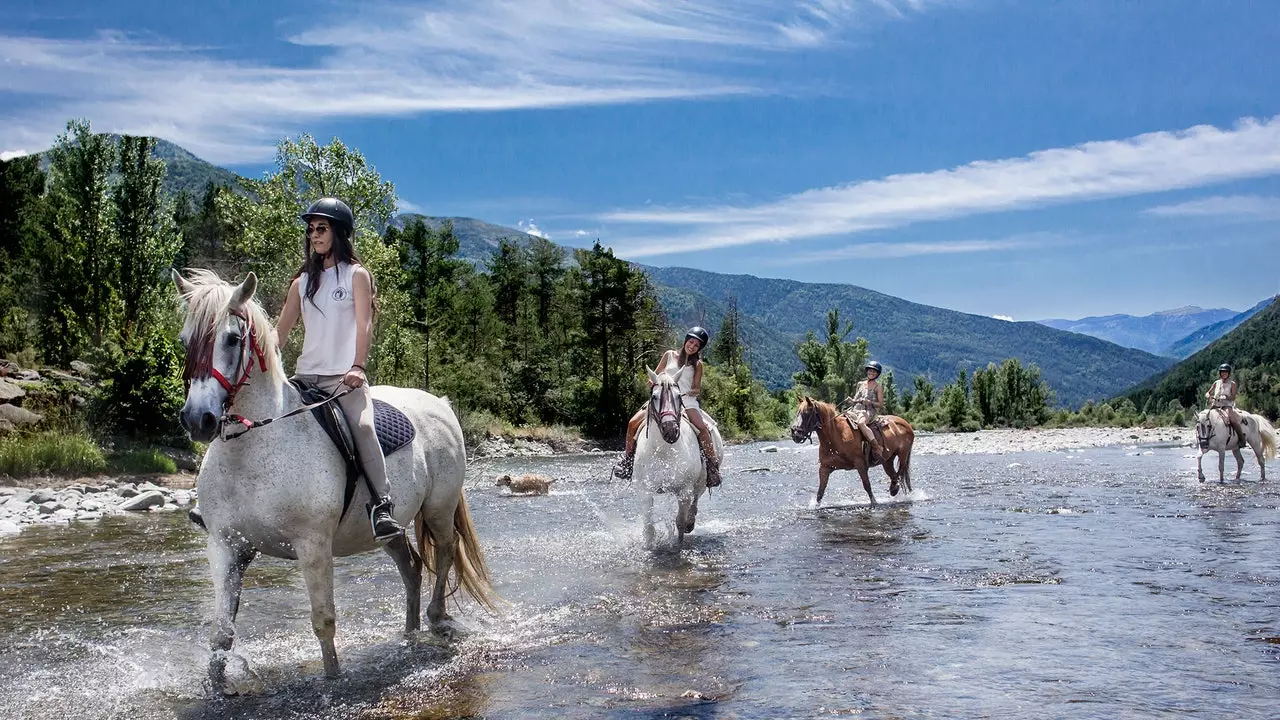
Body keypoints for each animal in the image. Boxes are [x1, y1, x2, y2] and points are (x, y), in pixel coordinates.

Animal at [177, 267, 496, 691]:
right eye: (185, 340)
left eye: (231, 338)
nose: (199, 419)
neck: (252, 449)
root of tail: (439, 403)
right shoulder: (226, 547)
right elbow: (222, 632)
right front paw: (215, 689)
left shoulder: (313, 545)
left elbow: (323, 621)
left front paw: (333, 681)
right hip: (388, 529)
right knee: (411, 567)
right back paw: (408, 635)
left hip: (439, 507)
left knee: (444, 550)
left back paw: (436, 618)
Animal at [634, 363, 727, 543]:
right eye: (654, 396)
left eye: (679, 397)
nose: (670, 429)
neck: (663, 451)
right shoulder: (645, 491)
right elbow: (649, 528)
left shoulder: (684, 491)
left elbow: (680, 523)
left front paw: (679, 543)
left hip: (701, 481)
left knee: (696, 499)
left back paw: (692, 521)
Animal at [783, 397, 916, 504]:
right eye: (797, 412)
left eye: (806, 413)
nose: (795, 433)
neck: (836, 435)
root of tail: (906, 424)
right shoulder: (825, 468)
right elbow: (820, 492)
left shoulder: (860, 464)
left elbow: (867, 485)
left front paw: (874, 502)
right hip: (887, 461)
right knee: (894, 475)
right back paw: (894, 489)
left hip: (903, 454)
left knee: (900, 471)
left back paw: (894, 489)